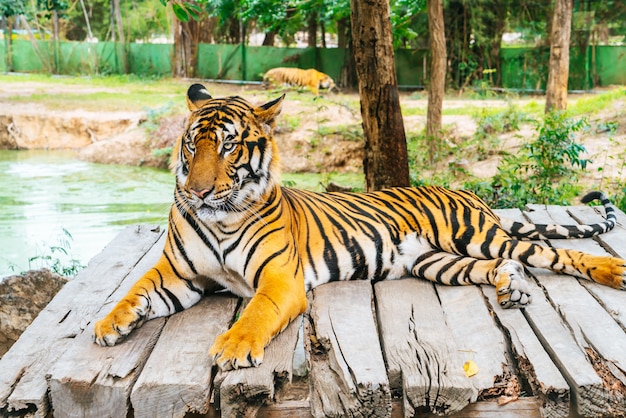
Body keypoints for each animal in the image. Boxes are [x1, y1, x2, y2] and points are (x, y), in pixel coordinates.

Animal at [94, 83, 624, 370]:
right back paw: (511, 289)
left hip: (474, 233)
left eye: (228, 145)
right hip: (438, 261)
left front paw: (234, 346)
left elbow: (257, 312)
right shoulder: (179, 274)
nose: (199, 192)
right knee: (503, 265)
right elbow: (135, 289)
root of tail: (471, 194)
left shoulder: (279, 280)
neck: (222, 217)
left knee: (550, 254)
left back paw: (611, 272)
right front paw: (109, 324)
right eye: (191, 144)